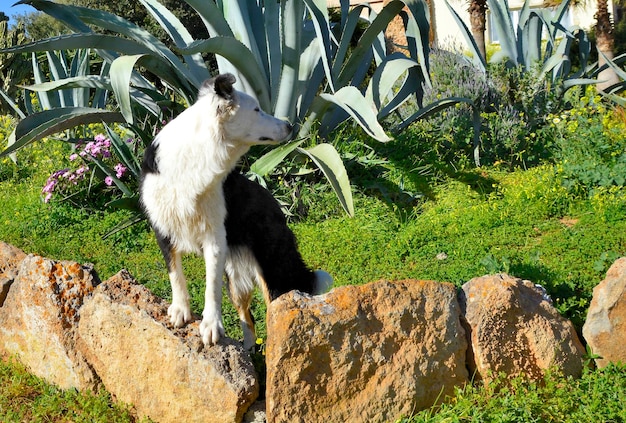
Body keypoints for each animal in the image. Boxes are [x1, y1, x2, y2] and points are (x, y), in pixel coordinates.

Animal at [138, 74, 332, 350]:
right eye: (257, 110)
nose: (289, 125)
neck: (197, 157)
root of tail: (275, 206)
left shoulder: (215, 237)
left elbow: (211, 286)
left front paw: (211, 325)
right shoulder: (163, 228)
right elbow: (175, 273)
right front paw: (180, 310)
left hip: (272, 269)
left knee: (277, 310)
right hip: (238, 278)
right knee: (247, 316)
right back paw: (249, 350)